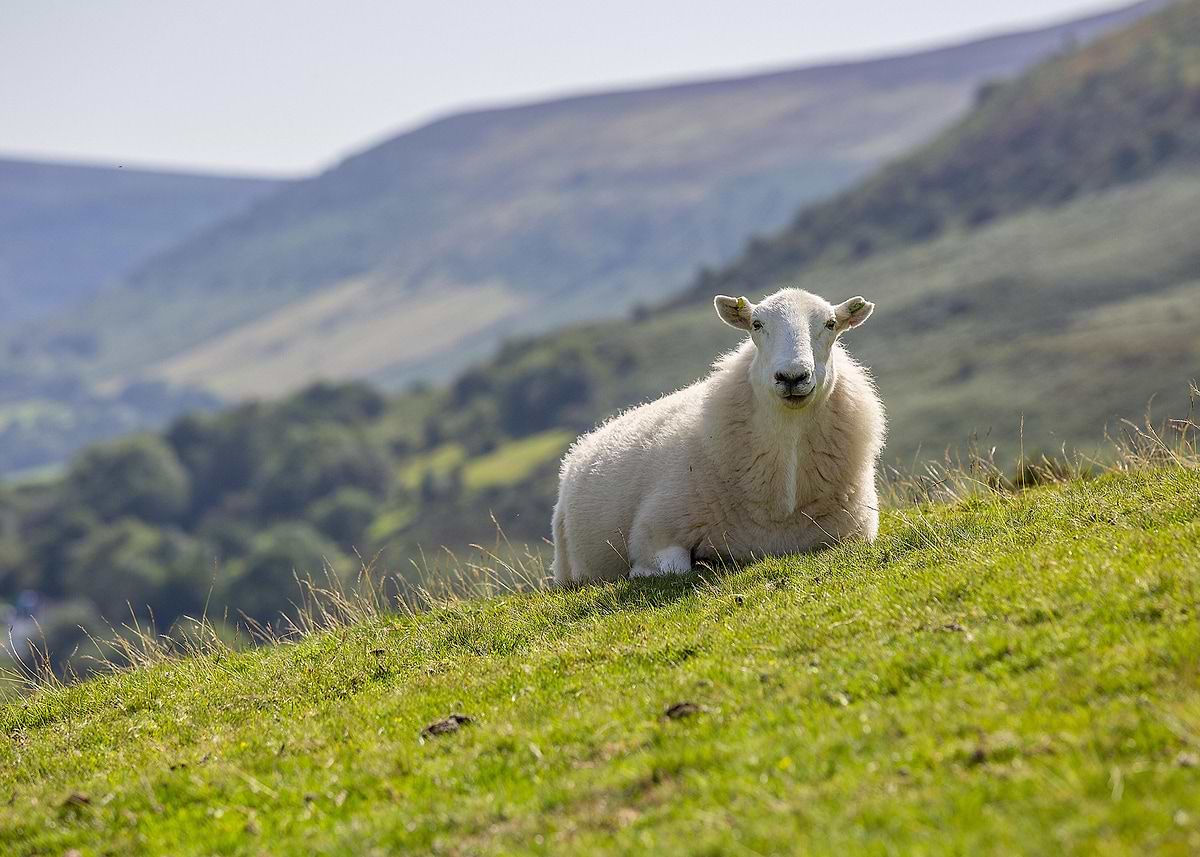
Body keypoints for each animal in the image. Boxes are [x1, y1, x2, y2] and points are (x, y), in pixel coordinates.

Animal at [551, 287, 885, 585]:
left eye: (830, 324)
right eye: (756, 324)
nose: (792, 377)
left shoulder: (855, 535)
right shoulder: (655, 533)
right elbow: (672, 568)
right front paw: (645, 573)